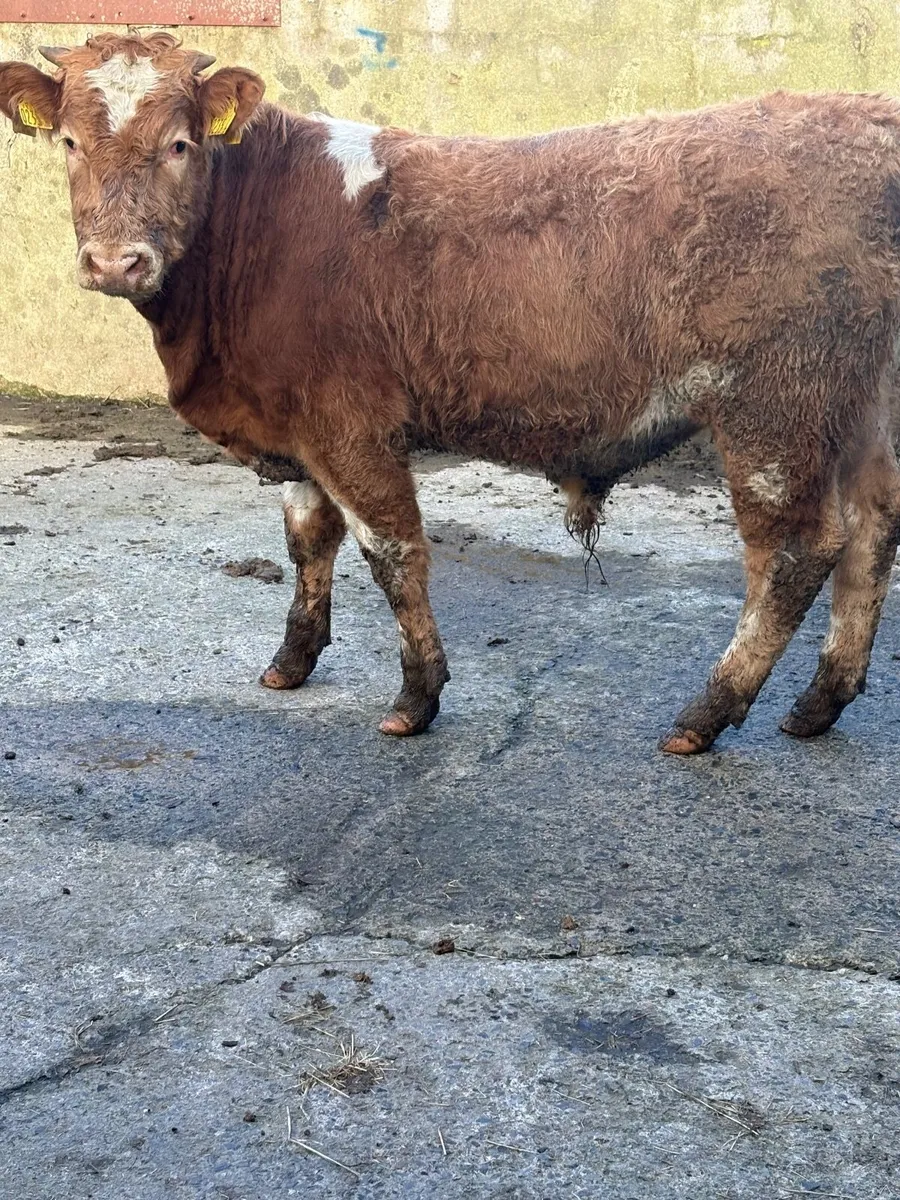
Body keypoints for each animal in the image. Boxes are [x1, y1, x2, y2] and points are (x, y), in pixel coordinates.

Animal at [2, 31, 899, 754]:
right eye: (70, 142)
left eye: (183, 143)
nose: (116, 262)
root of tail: (863, 116)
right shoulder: (293, 429)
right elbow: (309, 542)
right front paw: (292, 662)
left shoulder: (348, 425)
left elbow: (393, 552)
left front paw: (416, 696)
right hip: (862, 407)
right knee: (873, 528)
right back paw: (819, 703)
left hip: (774, 408)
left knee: (797, 550)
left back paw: (707, 713)